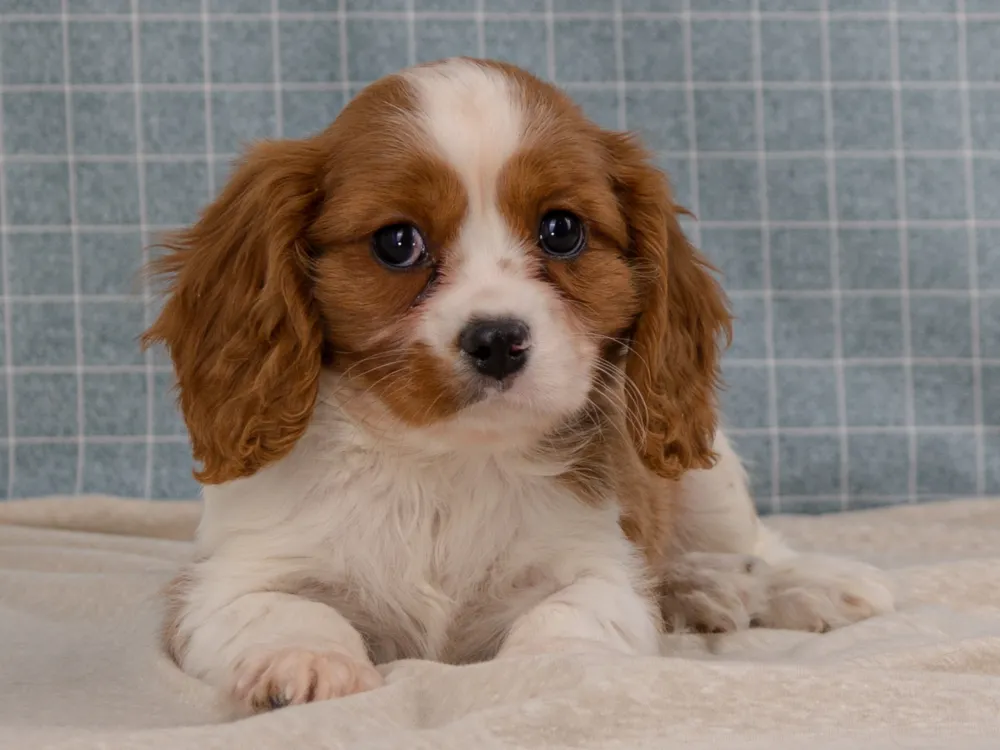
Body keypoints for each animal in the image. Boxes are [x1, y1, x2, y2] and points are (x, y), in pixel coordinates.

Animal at [146, 58, 900, 716]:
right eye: (397, 242)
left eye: (561, 231)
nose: (496, 339)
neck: (444, 463)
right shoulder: (224, 582)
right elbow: (289, 608)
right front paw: (306, 661)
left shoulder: (598, 568)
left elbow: (566, 614)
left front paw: (553, 668)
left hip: (708, 478)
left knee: (754, 547)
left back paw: (794, 584)